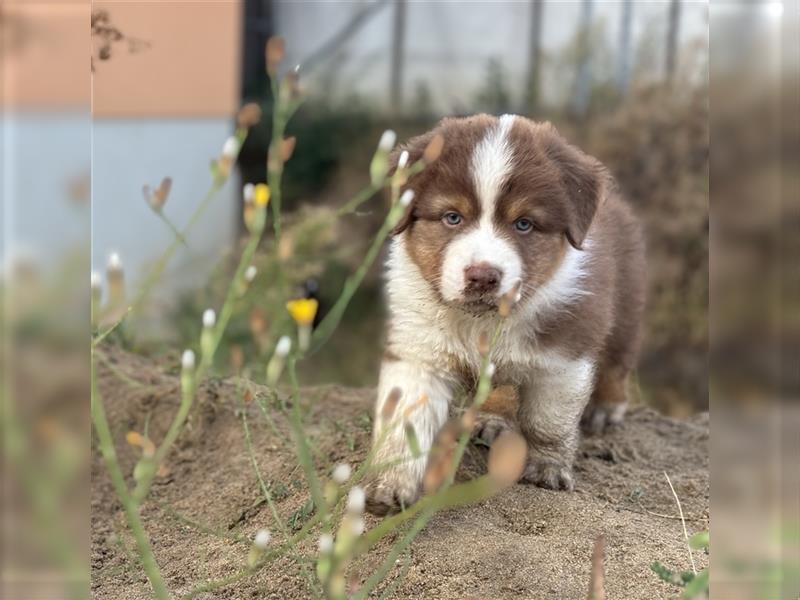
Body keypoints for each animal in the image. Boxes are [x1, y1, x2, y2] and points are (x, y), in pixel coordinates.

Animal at [366, 113, 648, 516]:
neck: (481, 322)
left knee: (617, 361)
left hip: (627, 303)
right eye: (452, 217)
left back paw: (606, 409)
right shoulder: (419, 349)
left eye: (524, 224)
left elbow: (549, 421)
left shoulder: (564, 354)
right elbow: (405, 419)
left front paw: (547, 469)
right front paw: (389, 486)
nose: (483, 276)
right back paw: (493, 419)